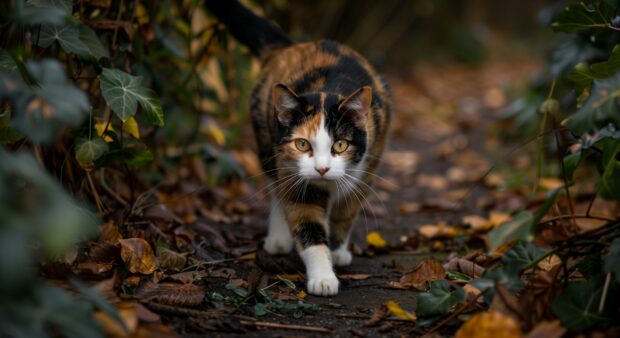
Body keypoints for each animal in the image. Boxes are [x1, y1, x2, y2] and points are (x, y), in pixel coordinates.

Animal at [208, 0, 392, 296]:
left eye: (340, 144)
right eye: (302, 143)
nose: (322, 168)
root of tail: (292, 47)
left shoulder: (368, 167)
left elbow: (346, 212)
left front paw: (337, 250)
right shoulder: (296, 176)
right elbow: (307, 223)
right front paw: (323, 277)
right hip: (266, 140)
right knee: (276, 188)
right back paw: (278, 238)